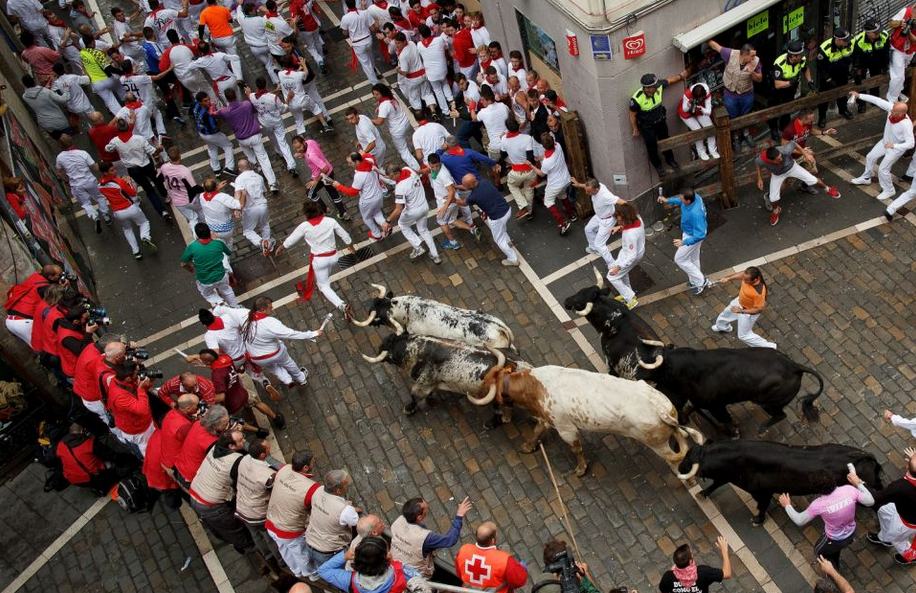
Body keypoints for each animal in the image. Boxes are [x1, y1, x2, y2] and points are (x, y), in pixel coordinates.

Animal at [468, 360, 704, 476]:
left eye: (487, 383)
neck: (535, 386)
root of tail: (659, 408)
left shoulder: (566, 429)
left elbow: (577, 449)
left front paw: (581, 469)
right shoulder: (547, 419)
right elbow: (537, 431)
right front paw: (528, 446)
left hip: (656, 443)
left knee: (675, 456)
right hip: (669, 429)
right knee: (682, 442)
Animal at [560, 268, 828, 434]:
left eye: (581, 299)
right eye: (581, 291)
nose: (566, 301)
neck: (616, 321)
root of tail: (795, 366)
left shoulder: (612, 365)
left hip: (765, 402)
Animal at [676, 438, 884, 524]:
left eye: (690, 461)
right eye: (687, 453)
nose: (679, 467)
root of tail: (863, 455)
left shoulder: (762, 493)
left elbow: (762, 507)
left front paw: (758, 520)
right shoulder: (725, 477)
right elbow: (716, 483)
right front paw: (702, 493)